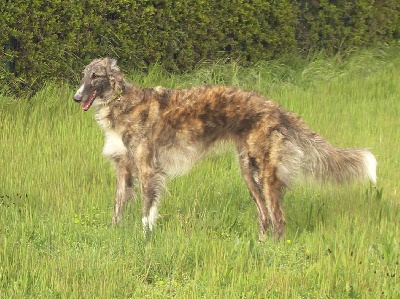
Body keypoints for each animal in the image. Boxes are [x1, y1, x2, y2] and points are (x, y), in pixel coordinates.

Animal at [73, 58, 376, 241]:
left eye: (96, 76)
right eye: (83, 75)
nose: (76, 97)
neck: (121, 103)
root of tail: (277, 109)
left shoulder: (148, 169)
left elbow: (147, 213)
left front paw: (145, 239)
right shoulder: (124, 169)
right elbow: (118, 208)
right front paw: (113, 235)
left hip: (266, 173)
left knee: (278, 218)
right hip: (248, 172)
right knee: (265, 216)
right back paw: (260, 245)